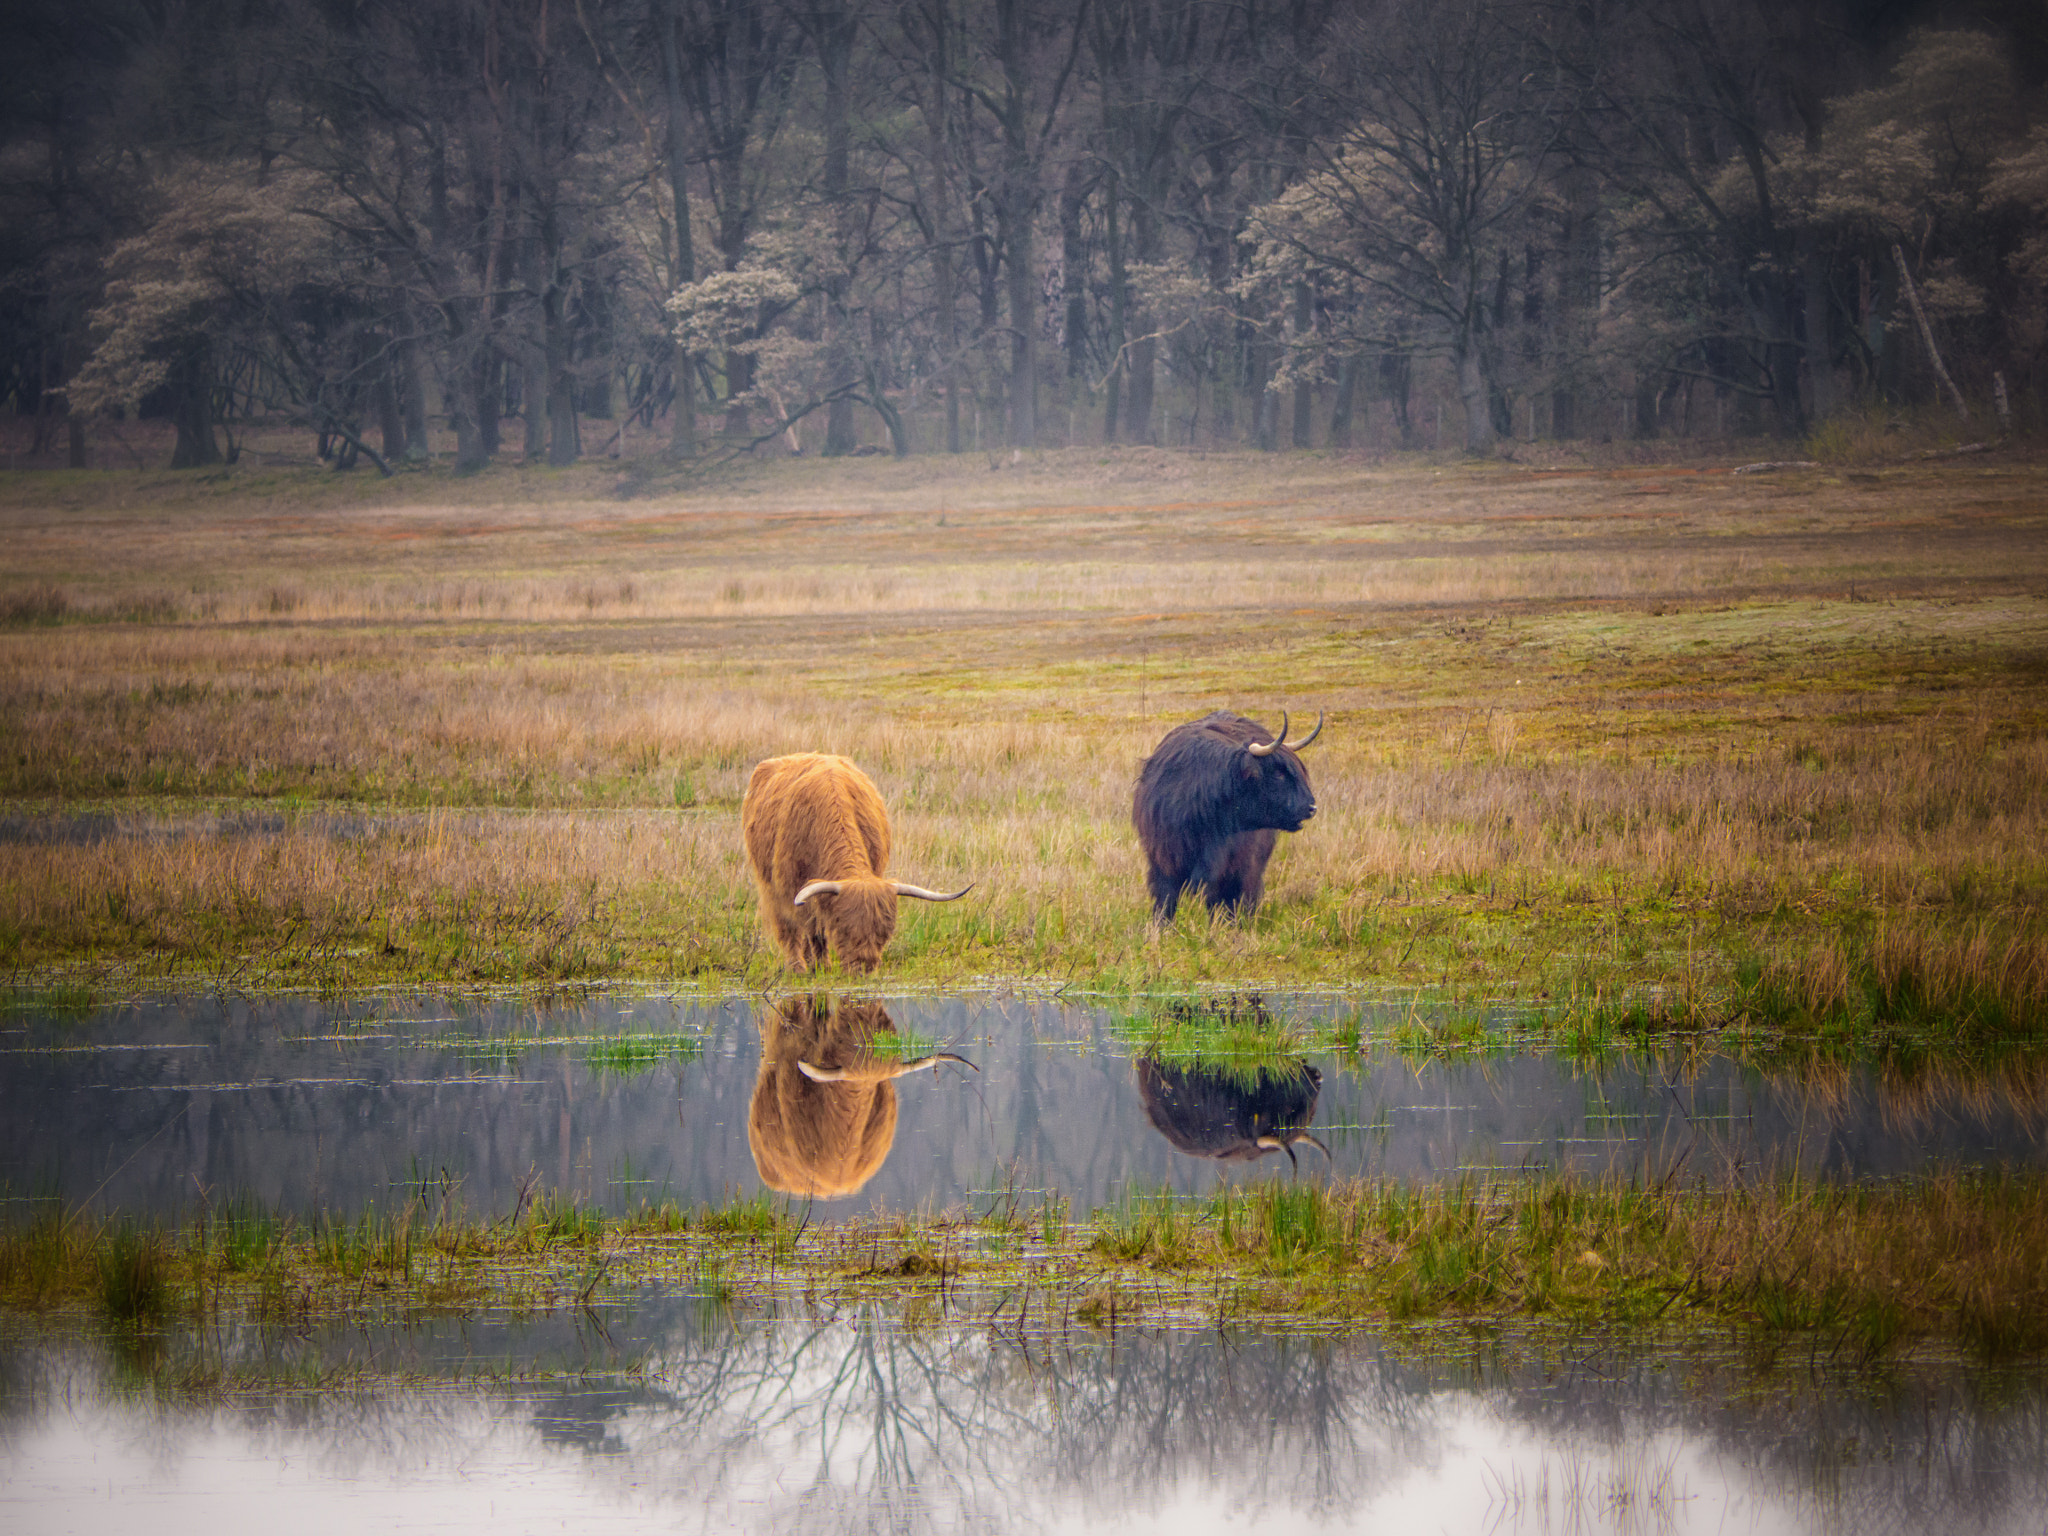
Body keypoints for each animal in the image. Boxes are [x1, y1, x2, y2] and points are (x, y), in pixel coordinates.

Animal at [745, 753, 974, 974]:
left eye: (884, 933)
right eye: (844, 929)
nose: (865, 967)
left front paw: (821, 966)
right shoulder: (791, 886)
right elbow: (811, 929)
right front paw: (816, 967)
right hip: (769, 886)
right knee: (788, 929)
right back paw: (798, 967)